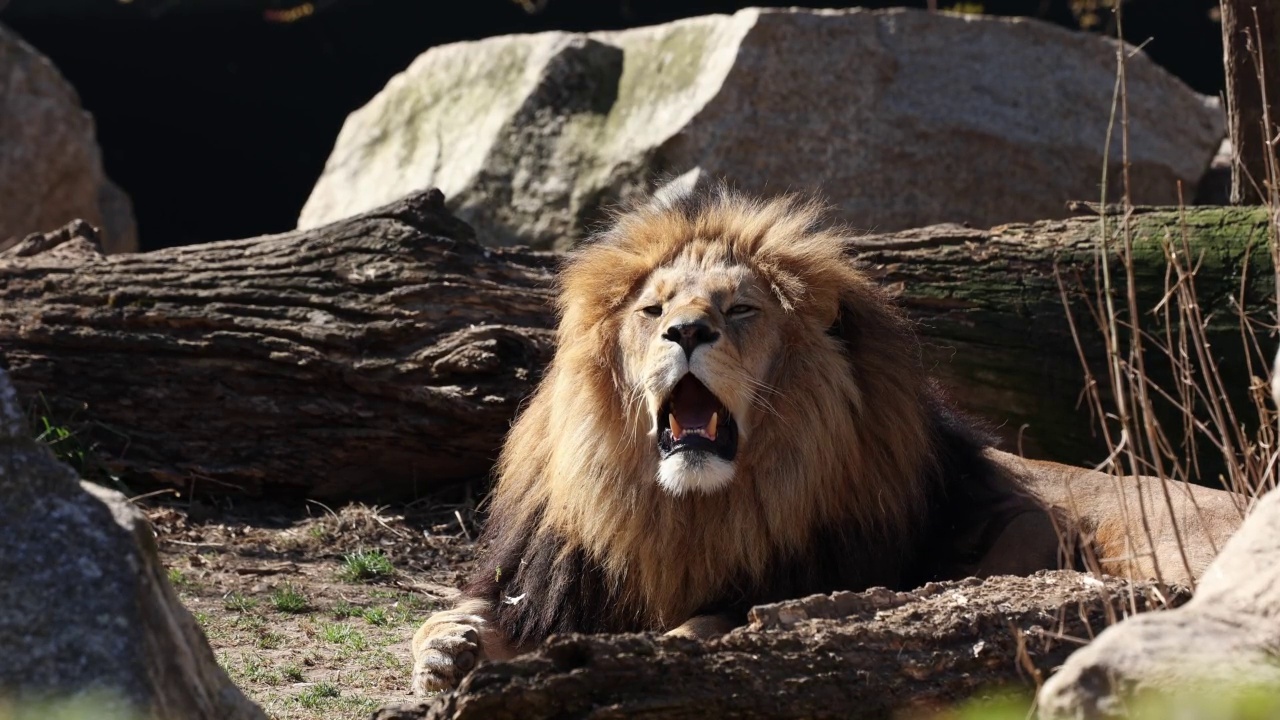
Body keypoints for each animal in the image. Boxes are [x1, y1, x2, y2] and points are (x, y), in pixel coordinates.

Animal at [412, 181, 1249, 691]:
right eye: (654, 311)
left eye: (740, 310)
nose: (687, 332)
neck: (683, 516)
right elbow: (451, 616)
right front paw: (446, 653)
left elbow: (710, 622)